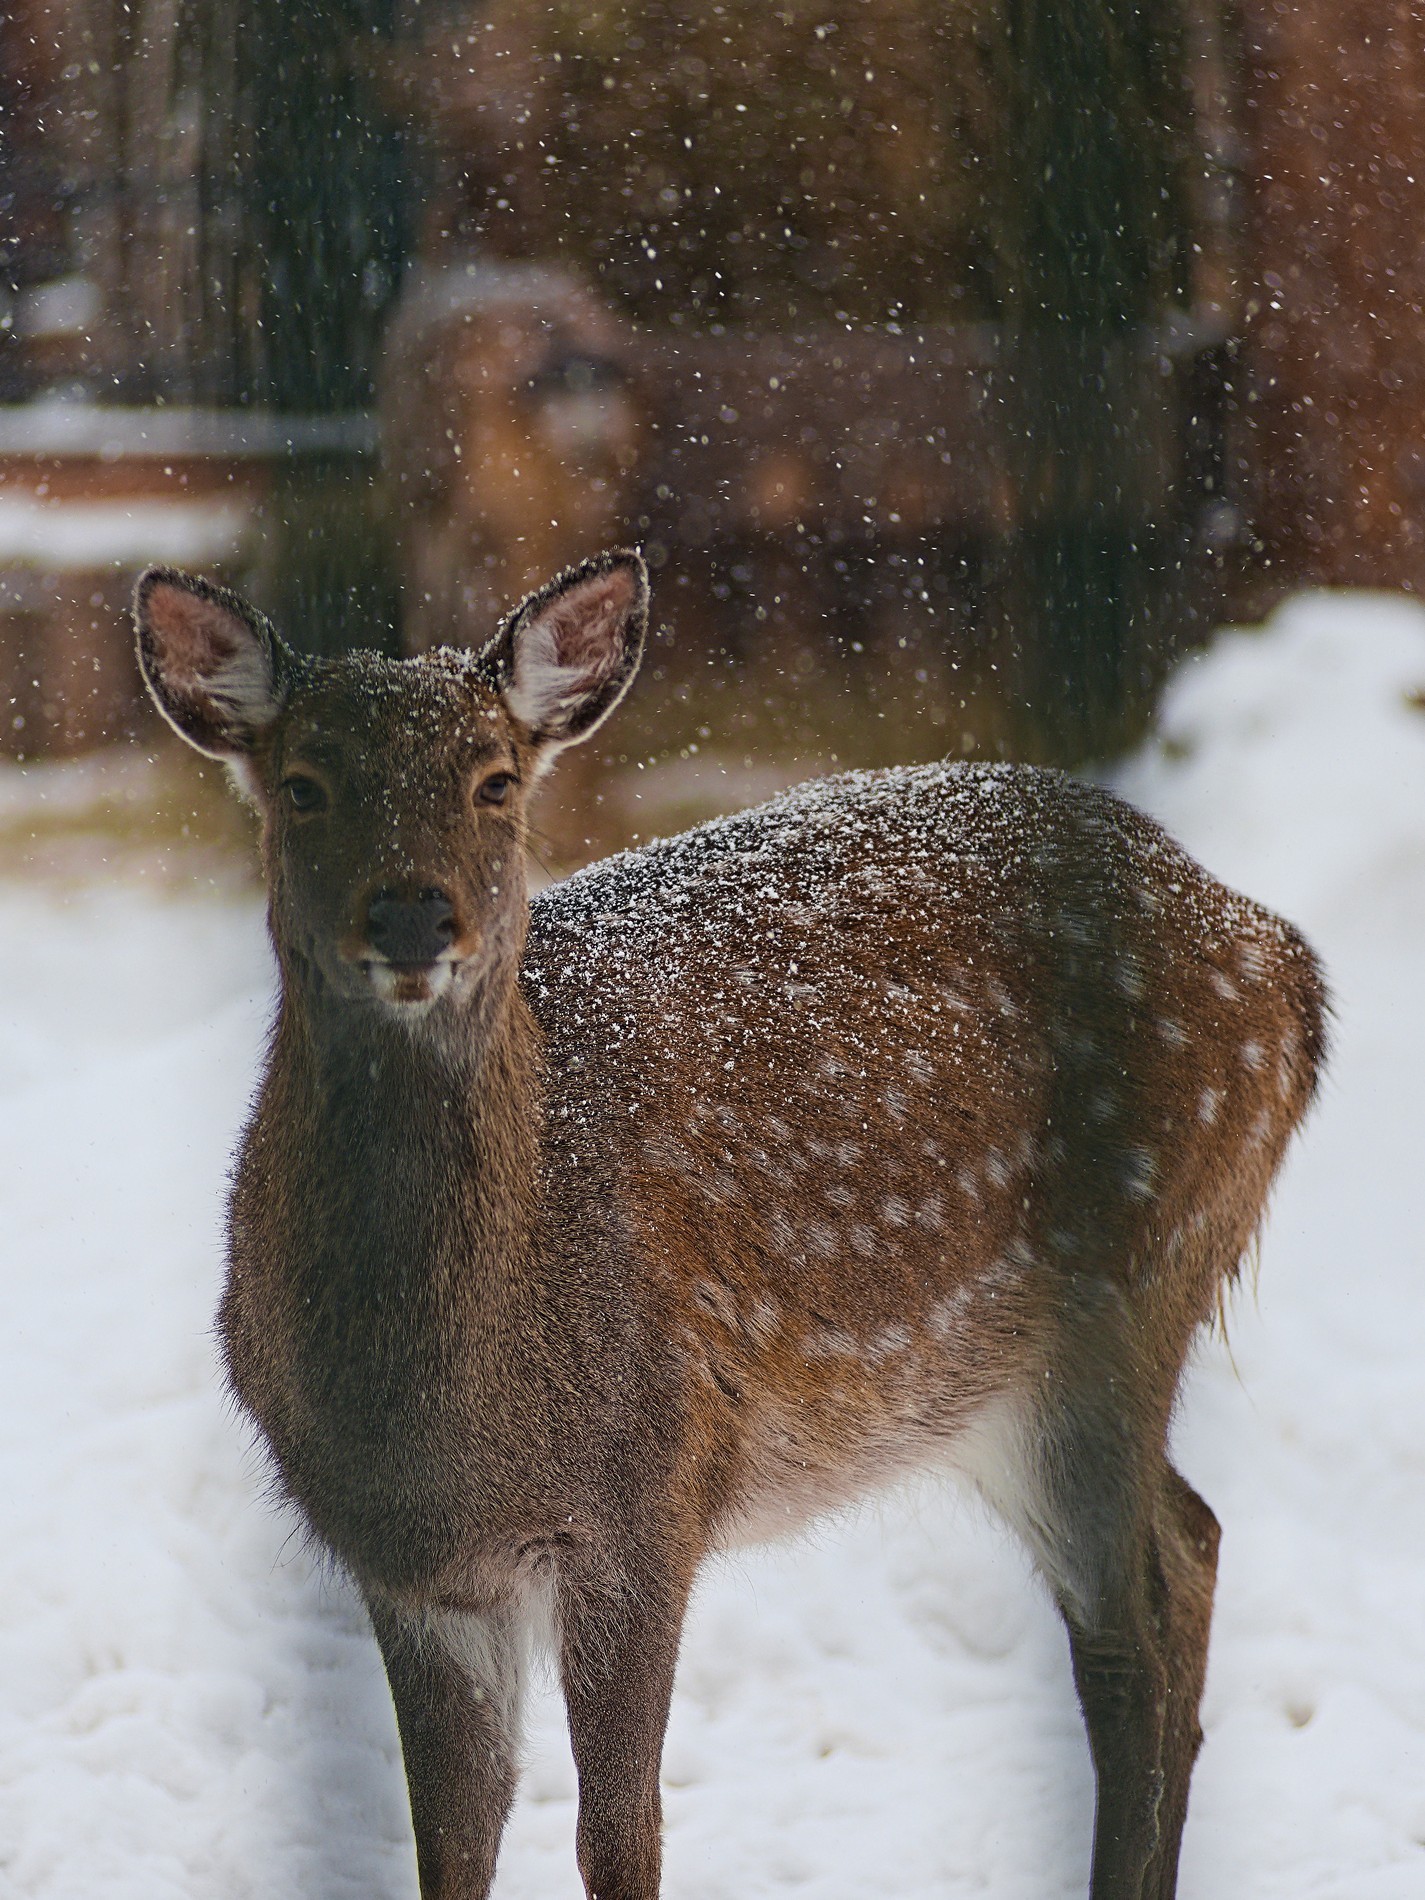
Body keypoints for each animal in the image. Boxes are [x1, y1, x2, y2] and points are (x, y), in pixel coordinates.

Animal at [133, 551, 1330, 1900]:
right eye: (304, 782)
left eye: (495, 779)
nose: (410, 917)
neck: (446, 1416)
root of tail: (1284, 964)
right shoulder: (410, 1568)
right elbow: (451, 1844)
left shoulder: (648, 1491)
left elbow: (619, 1836)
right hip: (989, 1388)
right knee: (1190, 1541)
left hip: (1131, 1289)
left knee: (1138, 1621)